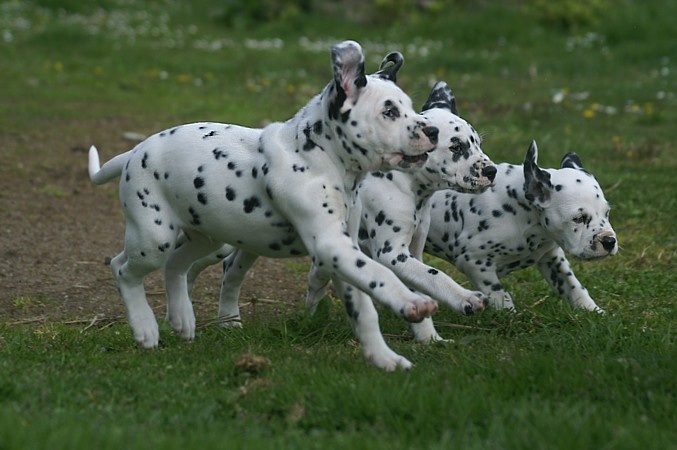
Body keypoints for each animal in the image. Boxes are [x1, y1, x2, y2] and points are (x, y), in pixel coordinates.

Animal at [306, 81, 496, 342]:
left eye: (478, 143)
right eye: (456, 146)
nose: (492, 171)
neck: (407, 186)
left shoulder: (412, 254)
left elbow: (424, 282)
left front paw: (429, 338)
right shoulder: (393, 254)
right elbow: (436, 275)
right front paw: (464, 298)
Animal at [426, 141, 616, 312]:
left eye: (607, 212)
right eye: (578, 218)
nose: (609, 241)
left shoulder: (552, 257)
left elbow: (573, 286)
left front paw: (594, 311)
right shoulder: (474, 262)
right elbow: (500, 295)